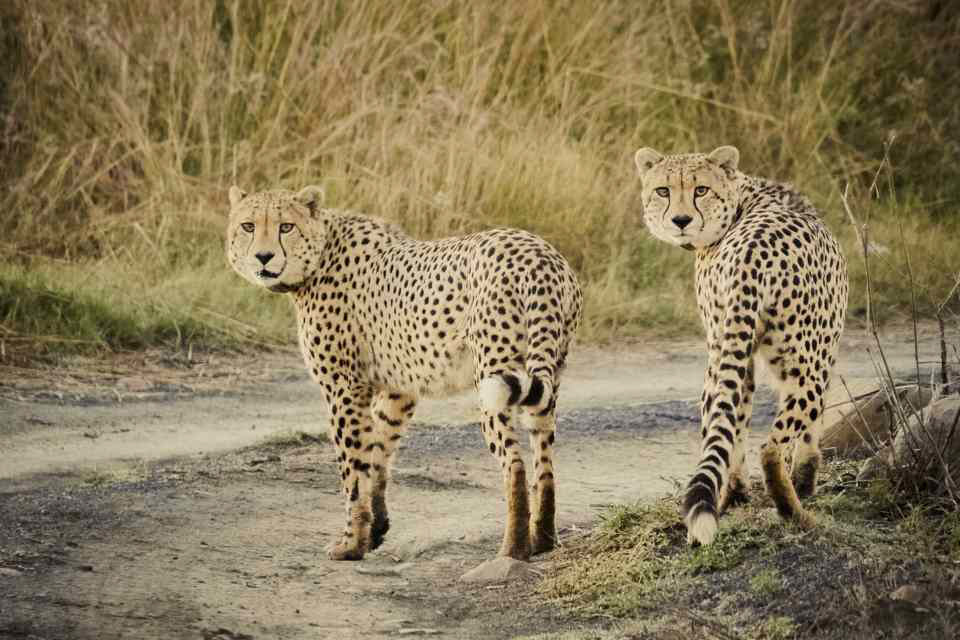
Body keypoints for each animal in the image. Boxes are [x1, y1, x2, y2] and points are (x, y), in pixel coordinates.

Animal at [226, 185, 582, 562]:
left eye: (286, 227)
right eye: (248, 226)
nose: (263, 257)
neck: (321, 253)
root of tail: (539, 254)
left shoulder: (344, 387)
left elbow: (352, 467)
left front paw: (351, 543)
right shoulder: (399, 390)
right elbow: (378, 453)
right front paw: (375, 529)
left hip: (493, 379)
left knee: (514, 463)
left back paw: (512, 550)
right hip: (547, 378)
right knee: (544, 460)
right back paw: (542, 539)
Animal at [633, 145, 848, 546]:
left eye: (701, 189)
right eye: (663, 191)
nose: (681, 220)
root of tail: (754, 252)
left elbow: (736, 422)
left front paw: (741, 494)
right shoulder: (823, 353)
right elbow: (812, 427)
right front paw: (807, 480)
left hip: (723, 352)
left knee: (722, 424)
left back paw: (726, 499)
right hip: (805, 365)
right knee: (771, 447)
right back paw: (796, 513)